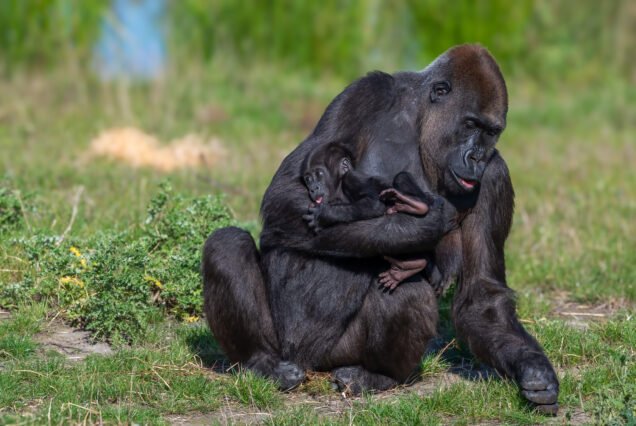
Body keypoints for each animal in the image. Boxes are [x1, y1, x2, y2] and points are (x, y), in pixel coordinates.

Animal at [304, 143, 438, 290]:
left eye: (319, 174)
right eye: (308, 179)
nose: (313, 188)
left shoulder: (352, 178)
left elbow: (374, 204)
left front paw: (323, 215)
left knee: (401, 178)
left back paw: (418, 205)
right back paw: (408, 267)